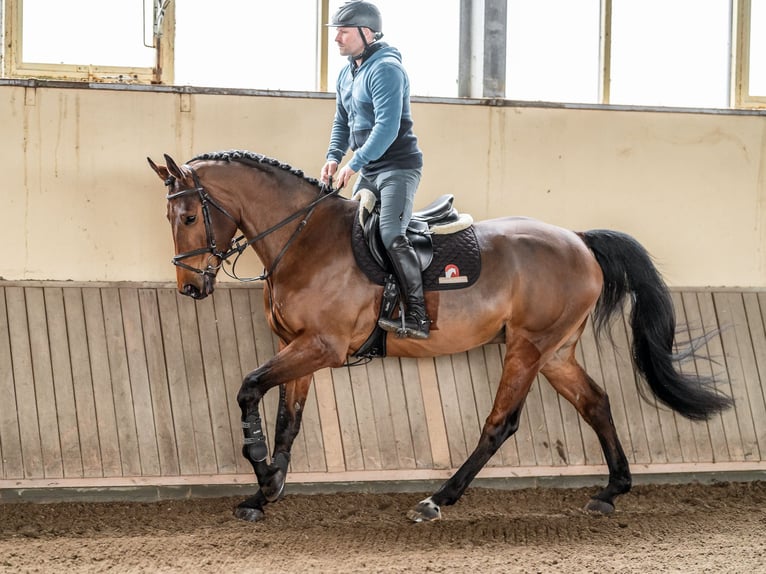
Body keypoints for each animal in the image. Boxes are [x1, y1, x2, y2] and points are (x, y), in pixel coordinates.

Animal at [148, 151, 732, 524]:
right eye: (171, 216)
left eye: (190, 215)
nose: (189, 287)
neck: (304, 239)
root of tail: (579, 240)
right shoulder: (296, 347)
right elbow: (288, 422)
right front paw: (264, 492)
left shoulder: (321, 348)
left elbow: (249, 388)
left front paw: (261, 471)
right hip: (555, 353)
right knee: (596, 402)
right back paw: (611, 491)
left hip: (527, 348)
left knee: (501, 423)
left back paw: (437, 499)